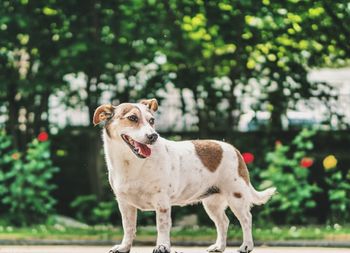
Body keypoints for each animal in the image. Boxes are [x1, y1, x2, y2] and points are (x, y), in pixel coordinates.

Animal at [93, 99, 276, 253]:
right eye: (132, 118)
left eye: (152, 121)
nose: (153, 136)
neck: (131, 163)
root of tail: (234, 149)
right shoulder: (125, 204)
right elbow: (128, 227)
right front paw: (124, 247)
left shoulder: (162, 202)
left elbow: (162, 226)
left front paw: (162, 246)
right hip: (212, 203)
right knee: (223, 222)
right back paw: (219, 246)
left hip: (236, 196)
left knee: (246, 219)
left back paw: (246, 246)